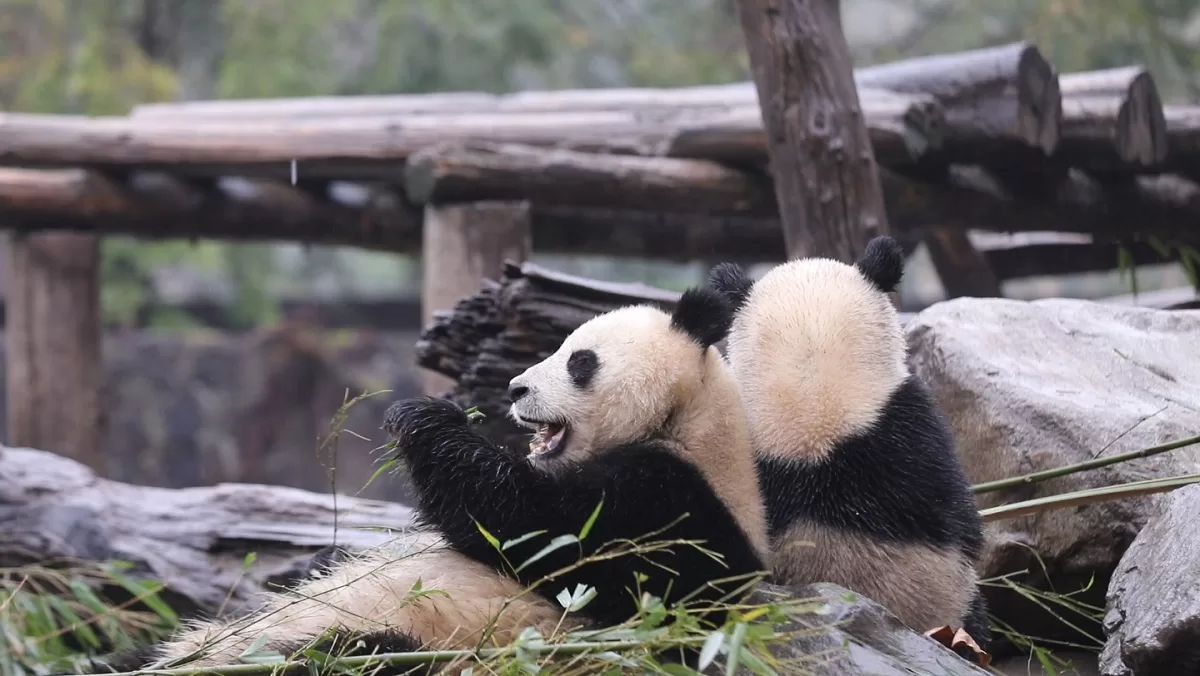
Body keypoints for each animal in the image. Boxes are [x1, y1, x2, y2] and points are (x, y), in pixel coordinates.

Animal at [117, 286, 768, 672]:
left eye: (580, 362)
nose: (515, 389)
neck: (687, 425)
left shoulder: (674, 510)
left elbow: (537, 529)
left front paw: (425, 418)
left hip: (426, 644)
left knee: (337, 656)